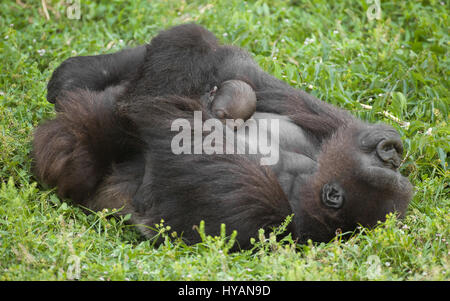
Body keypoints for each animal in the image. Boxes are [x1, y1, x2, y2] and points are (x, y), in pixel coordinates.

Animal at [32, 24, 412, 248]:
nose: (392, 155)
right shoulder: (320, 142)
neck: (300, 182)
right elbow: (246, 75)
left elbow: (153, 111)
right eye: (387, 167)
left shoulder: (256, 203)